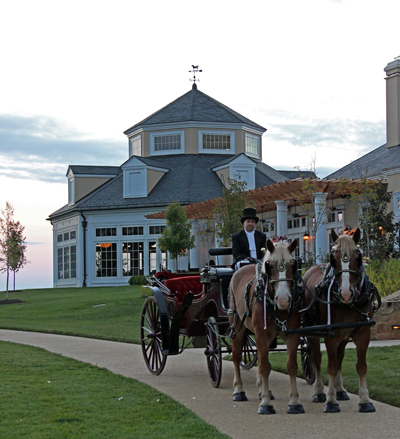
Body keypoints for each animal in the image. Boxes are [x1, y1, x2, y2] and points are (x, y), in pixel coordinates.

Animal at [228, 239, 304, 414]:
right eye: (270, 265)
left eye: (293, 265)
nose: (283, 299)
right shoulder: (261, 334)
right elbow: (264, 367)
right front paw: (265, 403)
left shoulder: (293, 335)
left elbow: (291, 366)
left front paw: (294, 401)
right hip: (237, 325)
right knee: (236, 356)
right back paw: (238, 390)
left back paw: (262, 388)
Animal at [304, 229, 380, 414]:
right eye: (334, 259)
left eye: (358, 258)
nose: (346, 293)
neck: (348, 304)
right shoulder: (330, 335)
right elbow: (330, 366)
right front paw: (331, 401)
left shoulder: (363, 333)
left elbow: (361, 366)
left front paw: (365, 400)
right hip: (312, 330)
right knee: (316, 357)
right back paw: (319, 392)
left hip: (344, 336)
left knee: (339, 357)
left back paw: (340, 390)